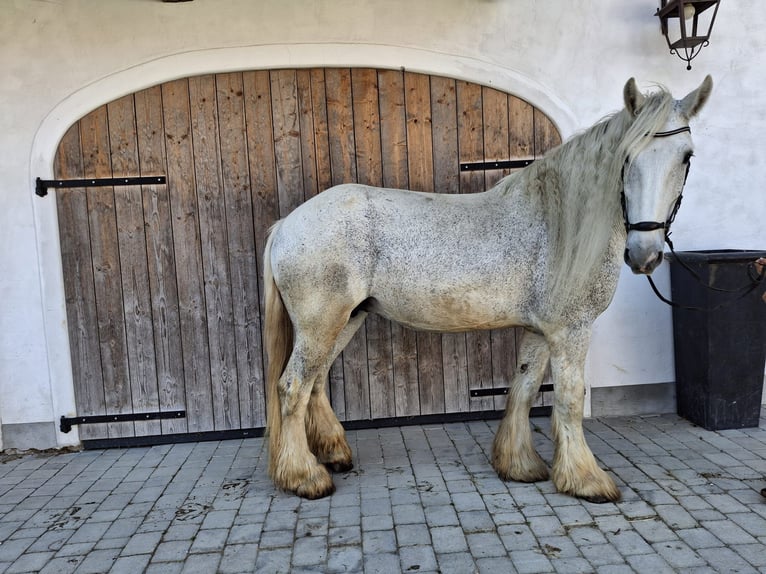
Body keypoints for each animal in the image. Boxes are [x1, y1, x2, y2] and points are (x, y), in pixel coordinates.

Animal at [262, 76, 713, 502]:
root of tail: (286, 225)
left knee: (316, 382)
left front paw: (519, 465)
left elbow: (524, 389)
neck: (558, 224)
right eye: (627, 157)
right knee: (293, 387)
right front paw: (587, 480)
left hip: (346, 320)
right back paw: (305, 477)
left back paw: (333, 455)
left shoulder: (540, 330)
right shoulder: (571, 330)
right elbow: (569, 399)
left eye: (687, 156)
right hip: (321, 325)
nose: (644, 254)